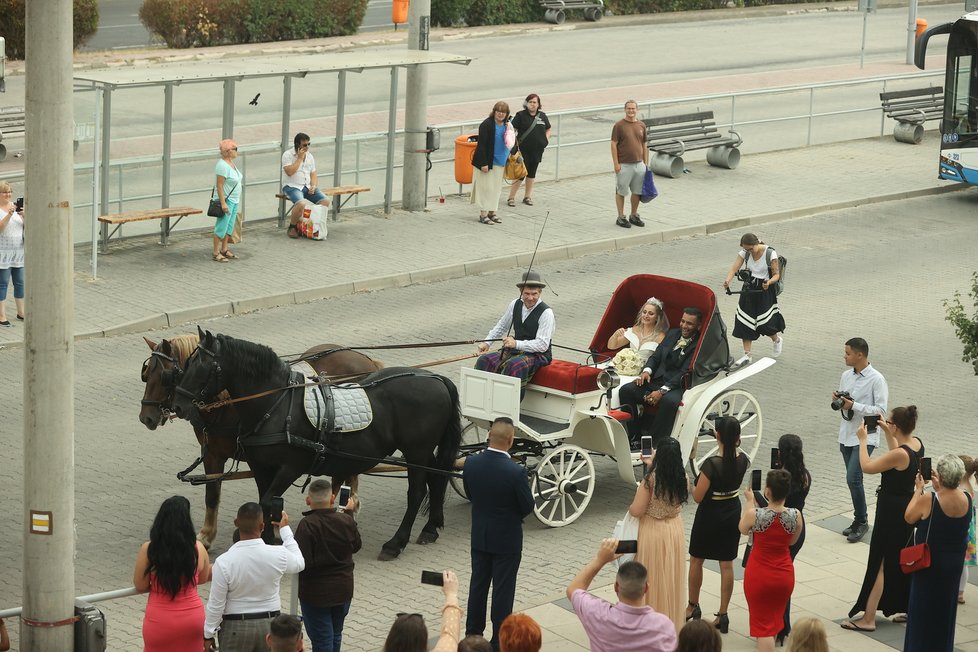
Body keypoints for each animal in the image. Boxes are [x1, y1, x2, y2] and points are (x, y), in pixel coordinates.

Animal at [137, 334, 382, 548]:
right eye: (146, 375)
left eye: (165, 376)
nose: (145, 417)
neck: (229, 405)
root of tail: (364, 358)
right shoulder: (215, 455)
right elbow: (212, 494)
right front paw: (207, 535)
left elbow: (267, 495)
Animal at [171, 328, 462, 564]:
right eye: (186, 365)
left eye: (203, 367)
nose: (178, 406)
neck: (277, 404)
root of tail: (436, 378)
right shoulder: (261, 467)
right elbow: (265, 503)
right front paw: (267, 540)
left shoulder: (290, 467)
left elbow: (266, 501)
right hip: (424, 453)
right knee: (437, 479)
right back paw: (430, 528)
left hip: (417, 451)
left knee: (416, 492)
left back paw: (396, 543)